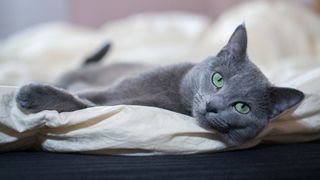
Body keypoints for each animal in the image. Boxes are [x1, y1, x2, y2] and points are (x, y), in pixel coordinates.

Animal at [15, 23, 304, 146]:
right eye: (218, 79)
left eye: (242, 108)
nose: (213, 105)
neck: (174, 96)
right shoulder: (113, 90)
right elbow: (85, 98)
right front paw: (31, 93)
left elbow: (82, 104)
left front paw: (31, 94)